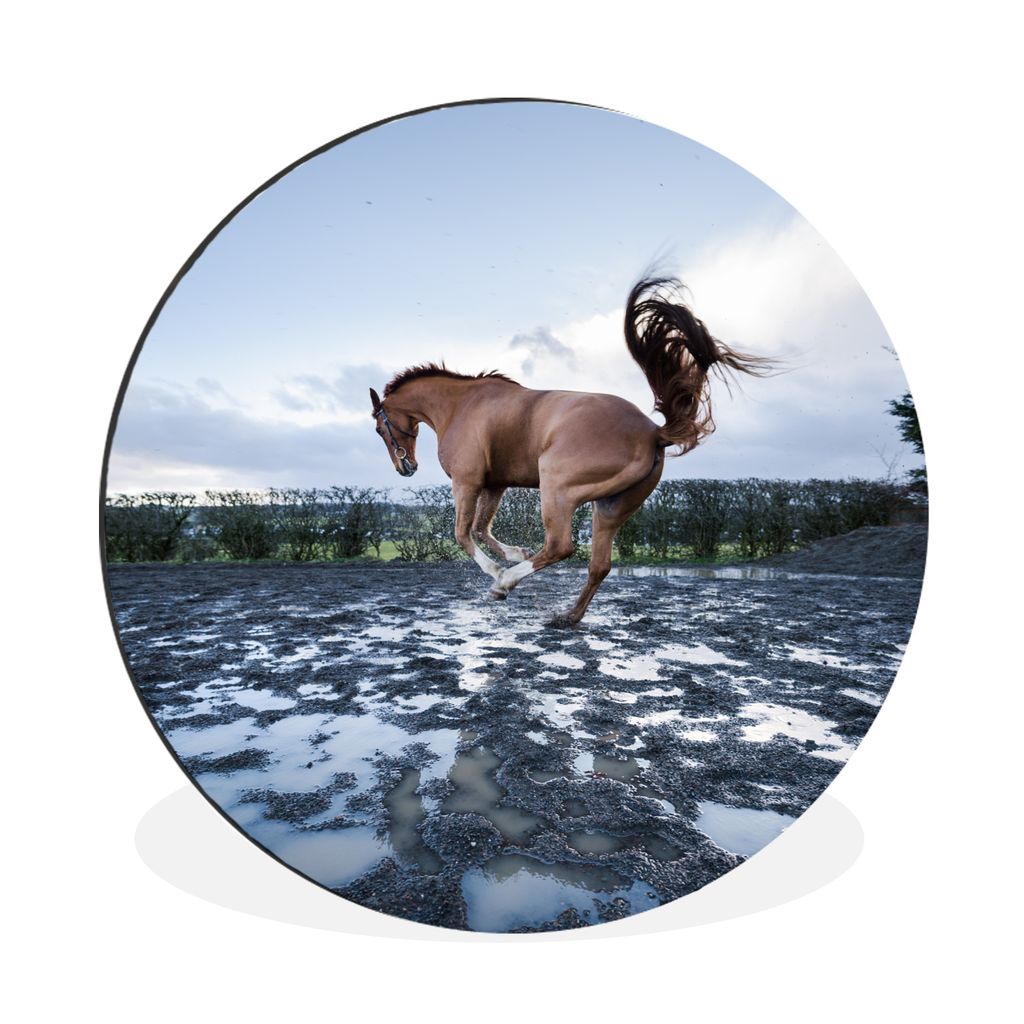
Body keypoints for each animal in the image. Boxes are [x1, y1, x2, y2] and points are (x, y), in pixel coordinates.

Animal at [369, 275, 771, 625]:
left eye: (378, 428)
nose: (405, 468)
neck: (460, 406)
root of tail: (653, 431)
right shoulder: (495, 485)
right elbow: (482, 530)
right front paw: (515, 554)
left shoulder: (467, 482)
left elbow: (463, 534)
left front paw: (498, 571)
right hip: (610, 507)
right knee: (599, 565)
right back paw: (567, 617)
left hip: (557, 489)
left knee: (560, 546)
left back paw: (506, 584)